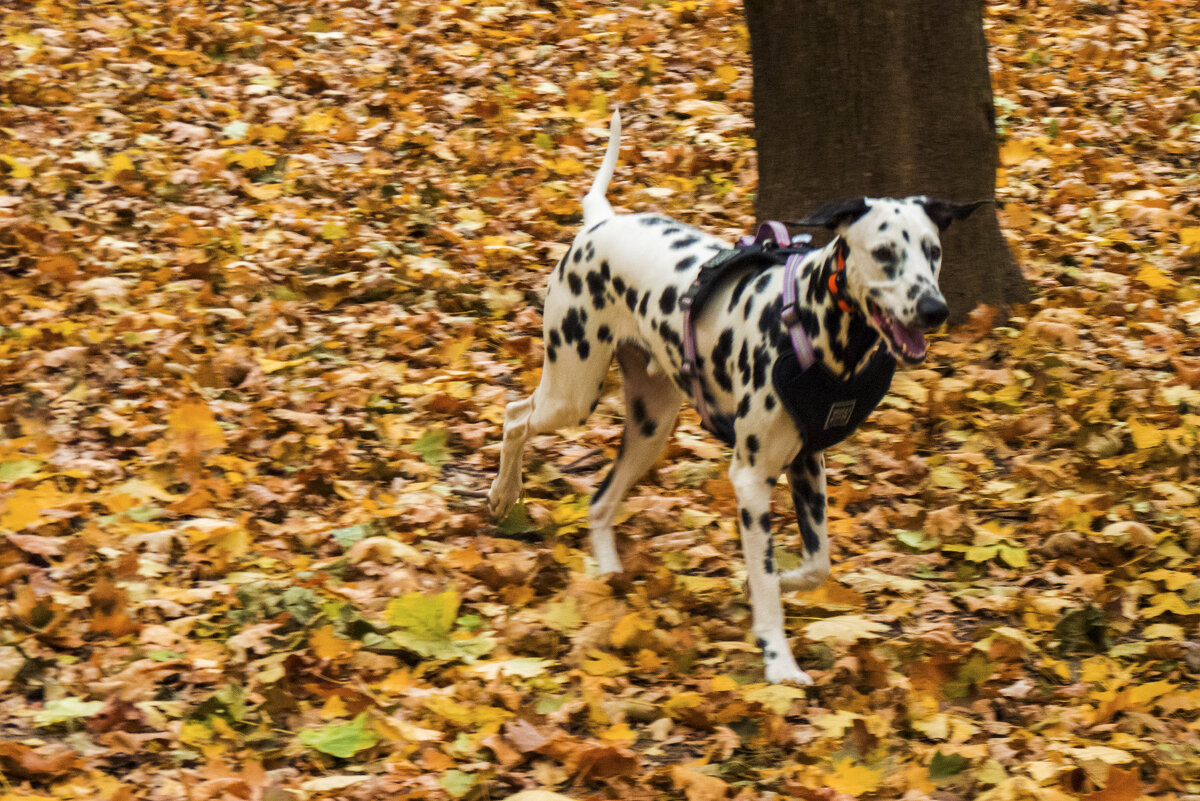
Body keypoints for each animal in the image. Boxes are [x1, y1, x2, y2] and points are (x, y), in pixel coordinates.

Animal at [487, 109, 984, 681]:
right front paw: (779, 663)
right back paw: (503, 494)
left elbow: (816, 565)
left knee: (599, 501)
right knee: (515, 414)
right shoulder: (751, 481)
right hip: (573, 392)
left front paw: (771, 585)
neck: (814, 324)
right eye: (884, 254)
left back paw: (610, 578)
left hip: (651, 427)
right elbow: (766, 578)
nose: (933, 310)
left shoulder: (807, 465)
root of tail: (600, 222)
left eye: (933, 251)